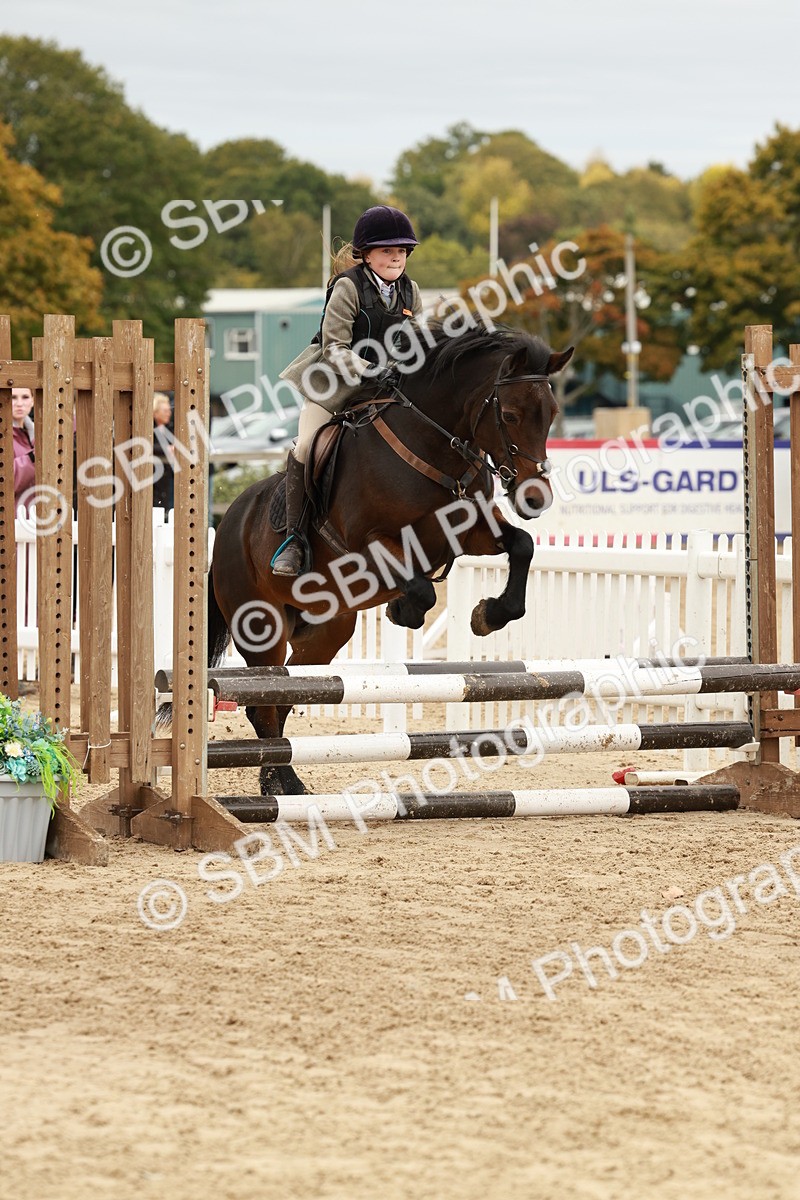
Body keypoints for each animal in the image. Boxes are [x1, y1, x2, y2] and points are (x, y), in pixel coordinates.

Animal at [208, 322, 574, 795]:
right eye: (509, 415)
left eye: (551, 414)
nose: (535, 497)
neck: (436, 447)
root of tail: (228, 522)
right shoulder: (369, 545)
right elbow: (420, 588)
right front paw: (406, 609)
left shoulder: (470, 532)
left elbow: (522, 546)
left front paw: (488, 615)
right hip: (259, 625)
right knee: (263, 704)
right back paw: (277, 782)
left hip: (326, 631)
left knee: (287, 695)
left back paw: (289, 783)